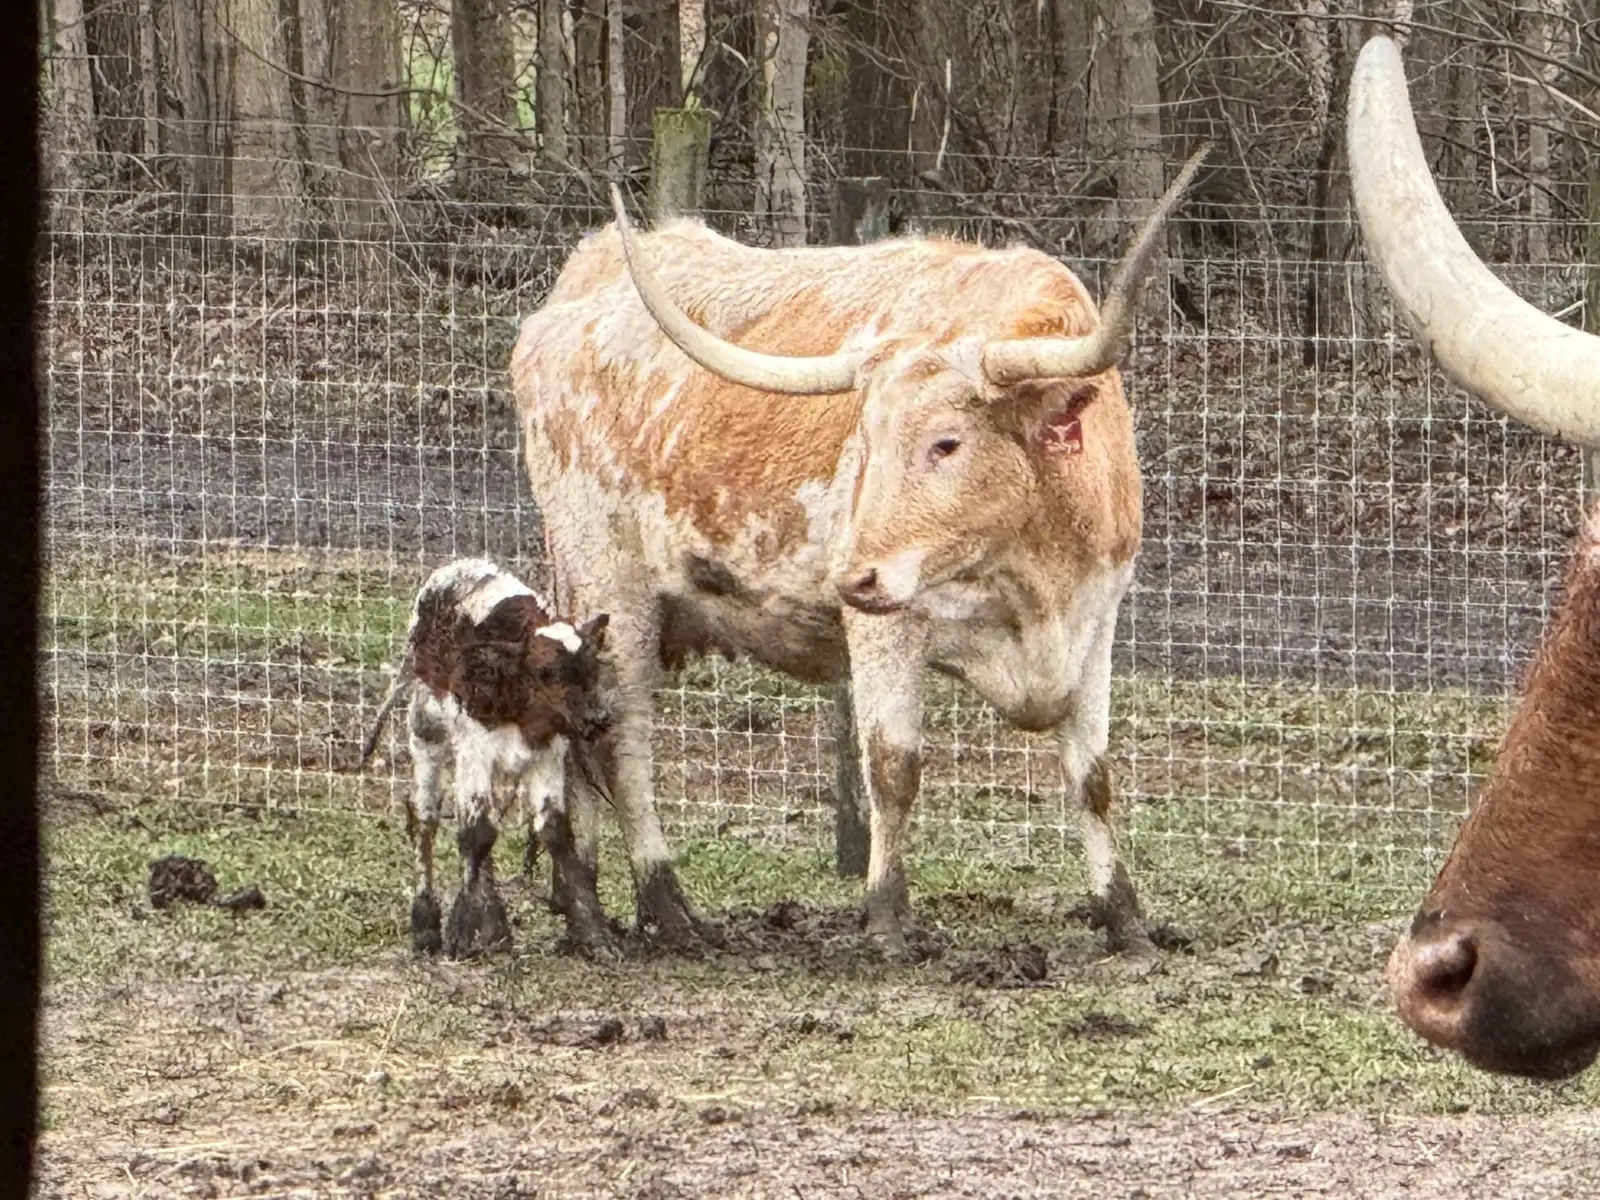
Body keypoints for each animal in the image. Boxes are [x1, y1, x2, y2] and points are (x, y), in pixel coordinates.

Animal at [509, 148, 1209, 959]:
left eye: (947, 442)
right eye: (864, 440)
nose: (854, 575)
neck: (1031, 567)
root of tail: (581, 282)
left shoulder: (1095, 623)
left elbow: (1092, 776)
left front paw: (1125, 918)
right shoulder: (888, 627)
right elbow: (894, 766)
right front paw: (886, 917)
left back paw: (582, 910)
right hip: (610, 587)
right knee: (620, 742)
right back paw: (660, 906)